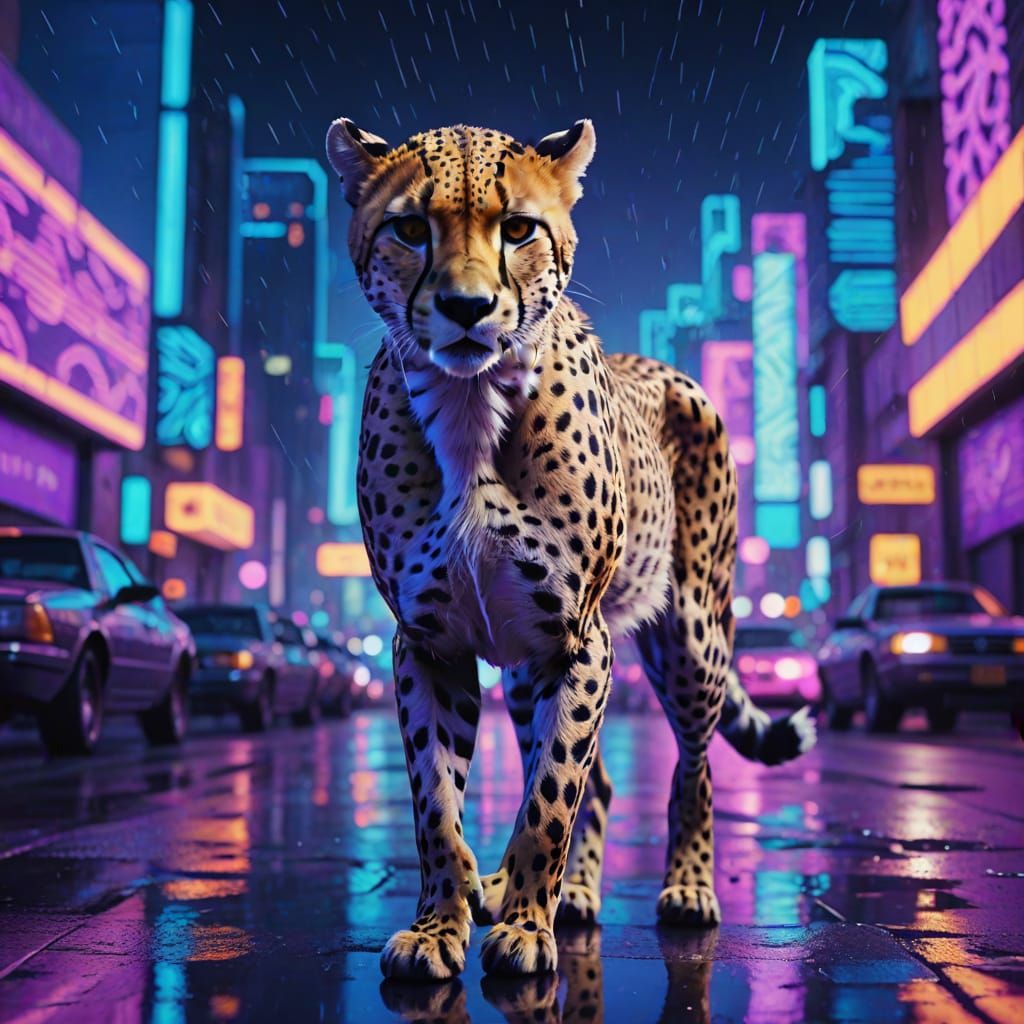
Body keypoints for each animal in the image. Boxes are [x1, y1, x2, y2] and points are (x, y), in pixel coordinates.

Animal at [325, 116, 816, 982]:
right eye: (410, 230)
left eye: (518, 229)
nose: (466, 308)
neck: (469, 402)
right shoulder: (429, 643)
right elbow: (437, 804)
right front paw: (440, 926)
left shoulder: (575, 641)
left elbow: (551, 796)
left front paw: (525, 925)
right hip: (525, 672)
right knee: (601, 781)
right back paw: (566, 894)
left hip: (690, 639)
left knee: (692, 766)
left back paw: (685, 888)